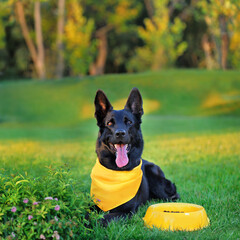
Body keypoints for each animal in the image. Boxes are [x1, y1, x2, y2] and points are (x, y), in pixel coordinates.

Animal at [91, 88, 179, 225]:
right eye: (109, 123)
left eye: (129, 122)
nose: (120, 133)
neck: (116, 172)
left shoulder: (126, 212)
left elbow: (103, 218)